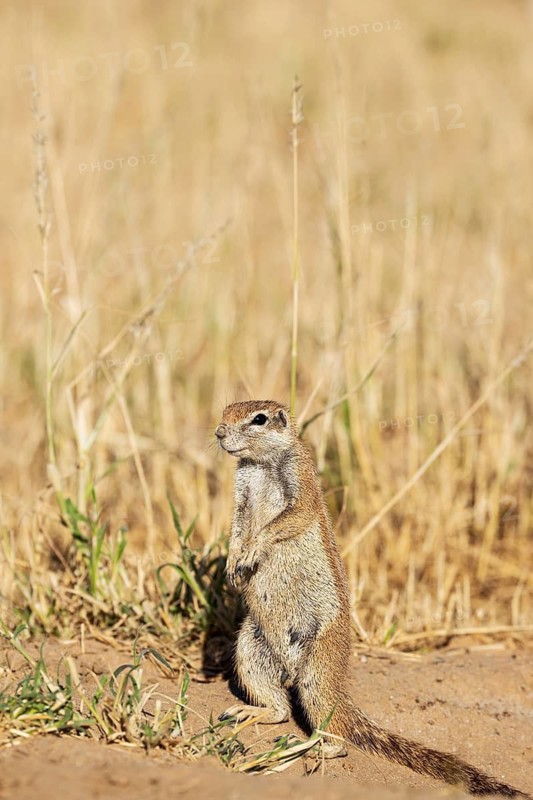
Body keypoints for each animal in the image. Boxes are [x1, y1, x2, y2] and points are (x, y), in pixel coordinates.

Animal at [215, 399, 530, 798]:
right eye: (225, 411)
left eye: (258, 419)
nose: (219, 433)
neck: (259, 464)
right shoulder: (240, 495)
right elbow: (237, 529)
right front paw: (232, 564)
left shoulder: (300, 483)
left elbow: (286, 520)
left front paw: (252, 551)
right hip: (251, 649)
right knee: (281, 709)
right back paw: (254, 712)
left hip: (318, 670)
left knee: (336, 734)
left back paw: (315, 748)